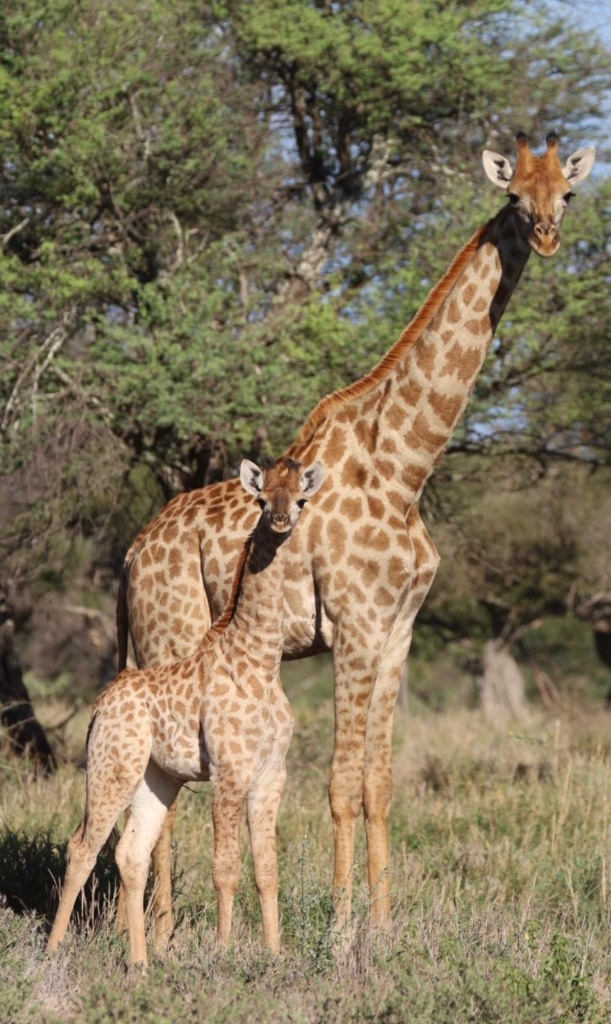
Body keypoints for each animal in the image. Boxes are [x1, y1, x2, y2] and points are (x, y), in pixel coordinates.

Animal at [48, 457, 325, 966]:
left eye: (301, 499)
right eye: (261, 499)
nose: (280, 522)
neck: (260, 660)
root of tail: (101, 704)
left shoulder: (271, 774)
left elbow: (267, 869)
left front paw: (275, 955)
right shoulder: (229, 770)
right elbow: (226, 867)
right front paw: (223, 952)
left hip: (155, 779)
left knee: (130, 853)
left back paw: (140, 964)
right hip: (110, 768)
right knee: (83, 846)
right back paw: (55, 950)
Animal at [117, 133, 595, 942]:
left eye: (566, 192)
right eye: (512, 195)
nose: (546, 236)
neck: (405, 466)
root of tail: (130, 554)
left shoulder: (398, 630)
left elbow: (380, 782)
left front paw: (384, 921)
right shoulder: (354, 625)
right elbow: (341, 784)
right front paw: (342, 934)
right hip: (168, 641)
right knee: (165, 786)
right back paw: (166, 932)